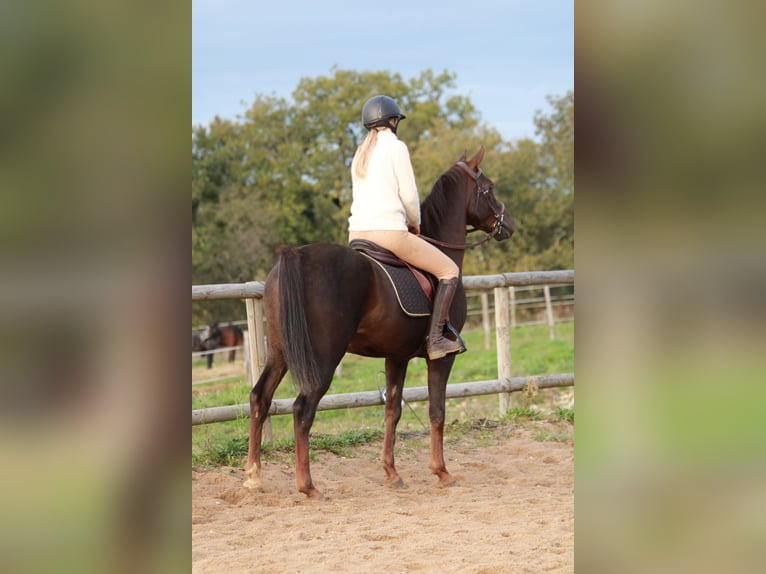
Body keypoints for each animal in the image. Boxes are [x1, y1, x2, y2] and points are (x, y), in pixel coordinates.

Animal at [246, 145, 516, 500]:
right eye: (490, 187)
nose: (508, 224)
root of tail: (295, 254)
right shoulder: (441, 360)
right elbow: (437, 411)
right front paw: (441, 472)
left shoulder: (396, 356)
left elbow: (393, 411)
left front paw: (391, 472)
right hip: (322, 359)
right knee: (302, 409)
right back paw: (307, 486)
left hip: (280, 353)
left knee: (259, 398)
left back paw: (253, 476)